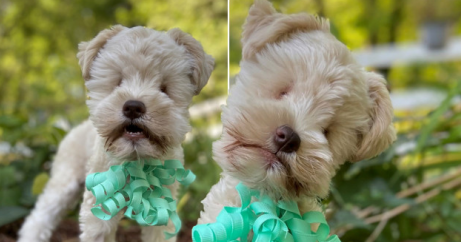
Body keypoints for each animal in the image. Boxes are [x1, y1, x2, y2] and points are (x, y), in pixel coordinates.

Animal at [17, 25, 213, 242]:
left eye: (164, 88)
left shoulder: (162, 206)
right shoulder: (100, 207)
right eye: (118, 82)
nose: (133, 107)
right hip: (63, 183)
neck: (136, 159)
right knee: (39, 217)